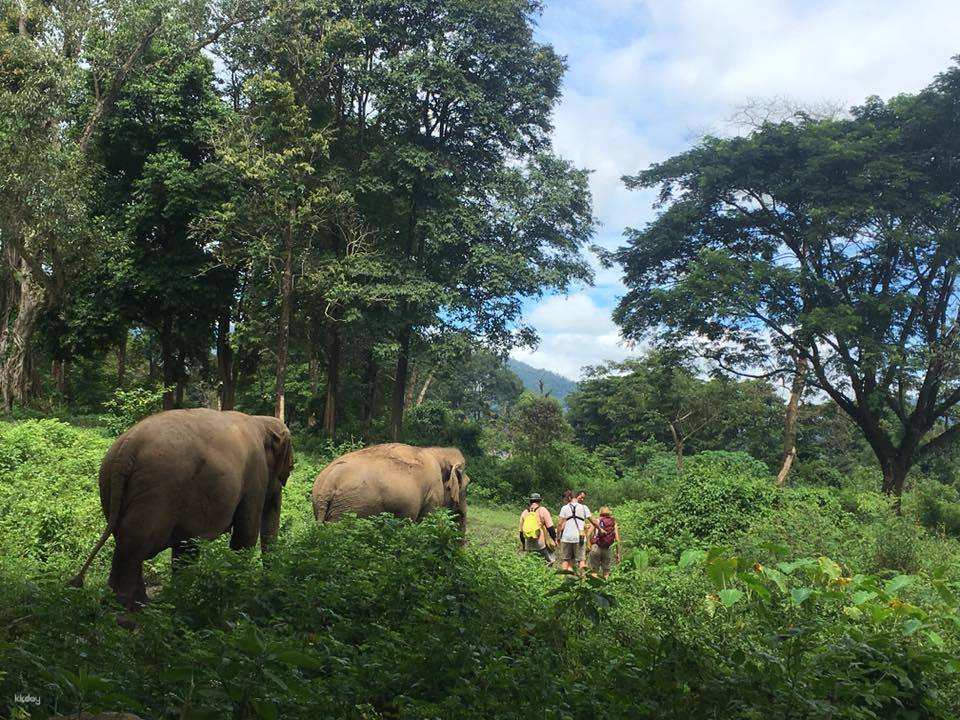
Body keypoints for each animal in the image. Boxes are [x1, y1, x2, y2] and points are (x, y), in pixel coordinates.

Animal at [69, 409, 294, 611]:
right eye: (290, 469)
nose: (270, 586)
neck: (260, 421)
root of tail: (127, 448)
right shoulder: (255, 476)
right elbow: (245, 535)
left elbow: (186, 547)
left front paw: (182, 596)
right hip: (157, 488)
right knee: (134, 542)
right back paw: (126, 612)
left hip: (108, 485)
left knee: (126, 540)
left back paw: (140, 605)